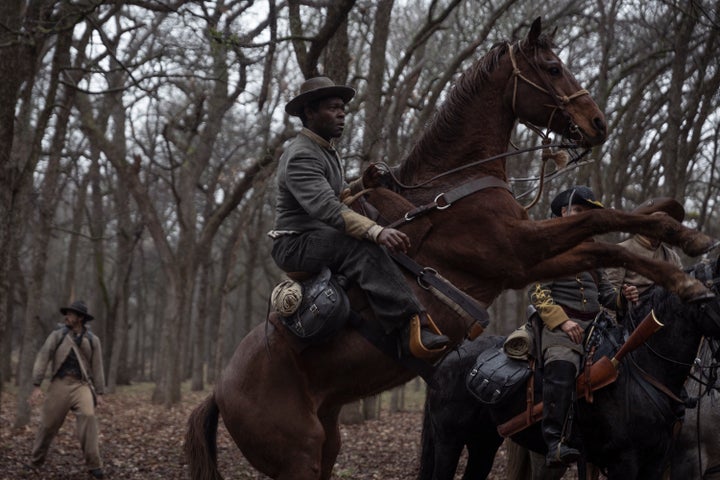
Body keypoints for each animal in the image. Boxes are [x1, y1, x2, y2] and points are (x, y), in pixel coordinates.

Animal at [420, 255, 720, 480]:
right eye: (711, 296)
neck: (645, 367)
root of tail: (448, 358)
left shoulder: (655, 462)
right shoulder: (626, 461)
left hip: (484, 443)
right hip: (450, 442)